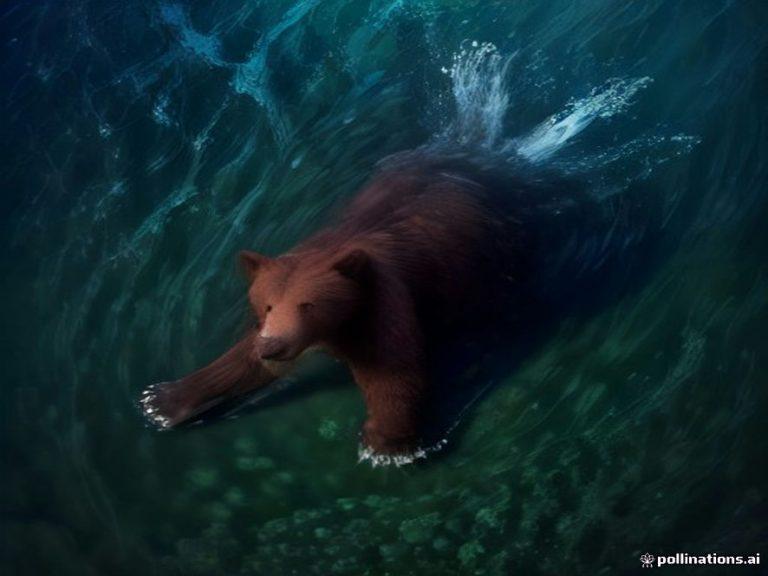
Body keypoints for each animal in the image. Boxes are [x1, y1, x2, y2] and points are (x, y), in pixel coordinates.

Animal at [141, 148, 604, 458]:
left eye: (308, 305)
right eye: (266, 306)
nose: (273, 345)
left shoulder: (382, 304)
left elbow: (394, 371)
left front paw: (386, 444)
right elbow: (239, 363)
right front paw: (161, 401)